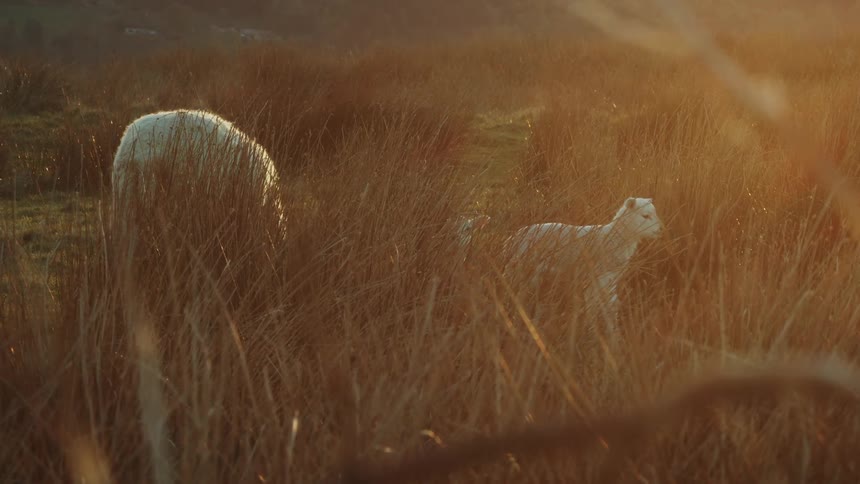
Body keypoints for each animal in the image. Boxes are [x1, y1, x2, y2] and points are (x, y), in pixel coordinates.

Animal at [502, 197, 663, 333]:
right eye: (645, 216)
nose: (661, 230)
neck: (615, 238)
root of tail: (512, 239)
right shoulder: (597, 278)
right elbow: (594, 306)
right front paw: (591, 332)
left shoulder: (609, 281)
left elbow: (611, 306)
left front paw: (612, 333)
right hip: (520, 269)